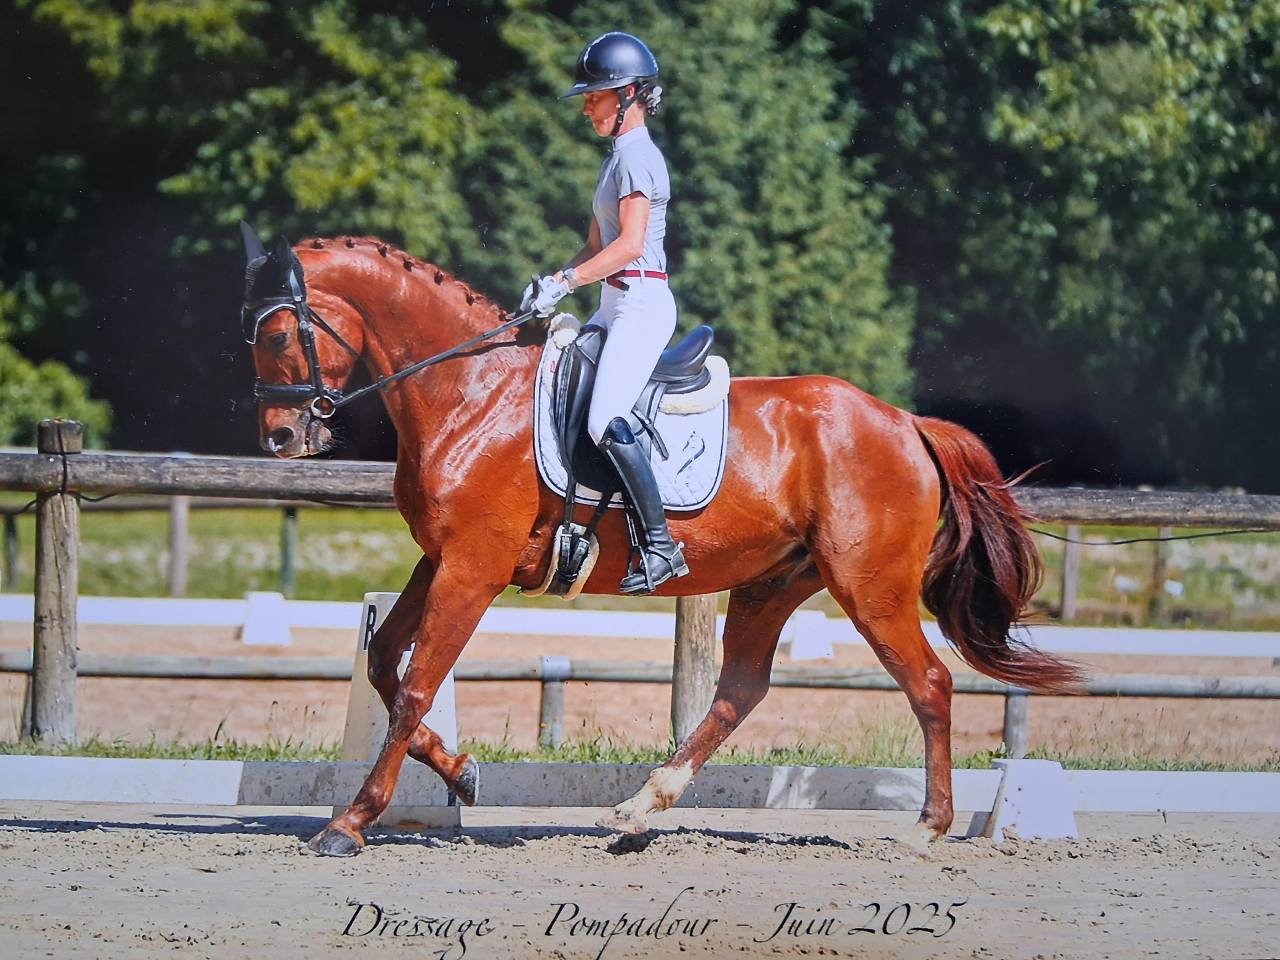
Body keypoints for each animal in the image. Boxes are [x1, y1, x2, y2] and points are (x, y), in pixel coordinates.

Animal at [241, 228, 1081, 857]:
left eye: (277, 333)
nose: (281, 438)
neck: (470, 394)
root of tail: (905, 421)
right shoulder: (440, 559)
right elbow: (385, 662)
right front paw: (463, 774)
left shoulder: (472, 569)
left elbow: (416, 684)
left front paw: (350, 824)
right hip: (775, 582)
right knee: (739, 691)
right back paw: (639, 807)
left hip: (868, 586)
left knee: (928, 685)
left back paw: (927, 828)